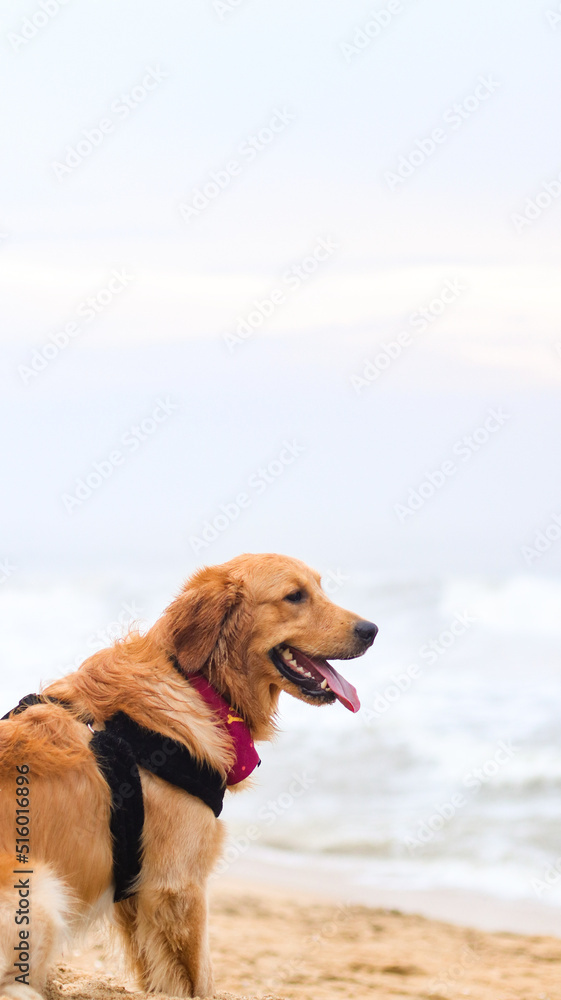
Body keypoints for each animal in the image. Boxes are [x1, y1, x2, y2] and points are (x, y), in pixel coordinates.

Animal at [1, 556, 376, 1000]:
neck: (199, 685)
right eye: (294, 596)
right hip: (41, 893)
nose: (371, 630)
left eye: (320, 589)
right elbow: (201, 979)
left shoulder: (139, 895)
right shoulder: (177, 886)